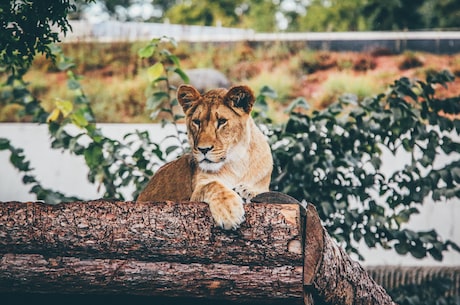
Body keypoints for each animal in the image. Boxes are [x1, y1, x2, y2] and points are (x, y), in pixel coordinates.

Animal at [137, 83, 274, 228]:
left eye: (222, 121)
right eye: (197, 122)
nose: (203, 149)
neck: (236, 161)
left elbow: (265, 191)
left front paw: (247, 190)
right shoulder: (195, 194)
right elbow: (213, 185)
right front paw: (230, 212)